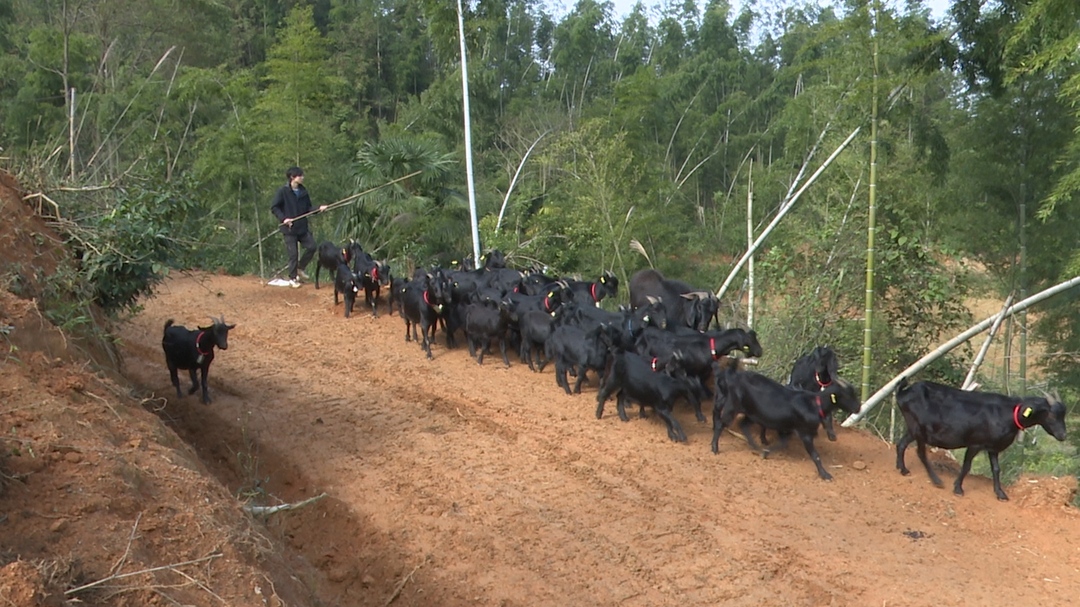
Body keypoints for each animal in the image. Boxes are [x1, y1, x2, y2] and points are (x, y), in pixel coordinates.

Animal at [889, 375, 1067, 498]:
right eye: (1051, 415)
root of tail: (903, 393)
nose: (1063, 435)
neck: (1009, 413)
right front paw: (958, 489)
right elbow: (966, 466)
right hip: (920, 430)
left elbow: (996, 469)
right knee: (920, 453)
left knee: (902, 444)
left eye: (1063, 414)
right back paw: (936, 480)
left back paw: (902, 469)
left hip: (912, 428)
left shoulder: (993, 448)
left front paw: (1000, 493)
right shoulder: (975, 443)